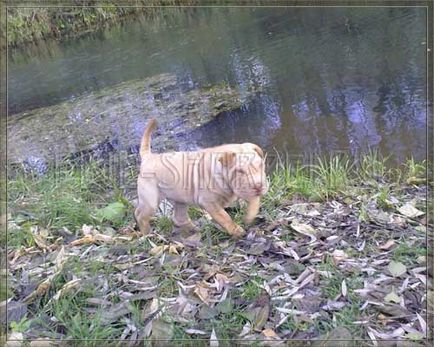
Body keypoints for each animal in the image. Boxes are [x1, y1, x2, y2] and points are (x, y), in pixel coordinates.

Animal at [136, 118, 268, 238]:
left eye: (261, 165)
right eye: (240, 171)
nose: (259, 186)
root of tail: (148, 157)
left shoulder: (247, 190)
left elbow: (254, 202)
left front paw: (250, 216)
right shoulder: (210, 203)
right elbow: (225, 217)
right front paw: (236, 230)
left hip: (179, 200)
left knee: (179, 217)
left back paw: (195, 230)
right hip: (151, 201)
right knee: (140, 215)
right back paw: (147, 234)